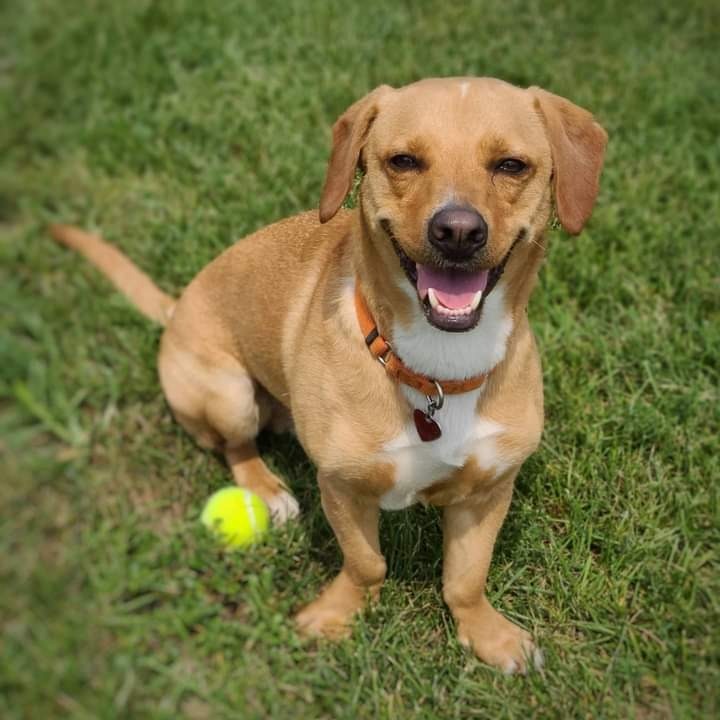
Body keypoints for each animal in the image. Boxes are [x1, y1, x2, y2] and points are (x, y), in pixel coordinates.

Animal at [47, 79, 604, 676]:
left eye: (511, 165)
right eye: (403, 161)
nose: (457, 231)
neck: (436, 370)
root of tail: (175, 310)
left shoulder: (488, 491)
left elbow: (465, 579)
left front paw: (486, 635)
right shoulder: (341, 487)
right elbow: (366, 564)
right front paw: (335, 616)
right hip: (230, 395)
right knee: (237, 447)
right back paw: (267, 490)